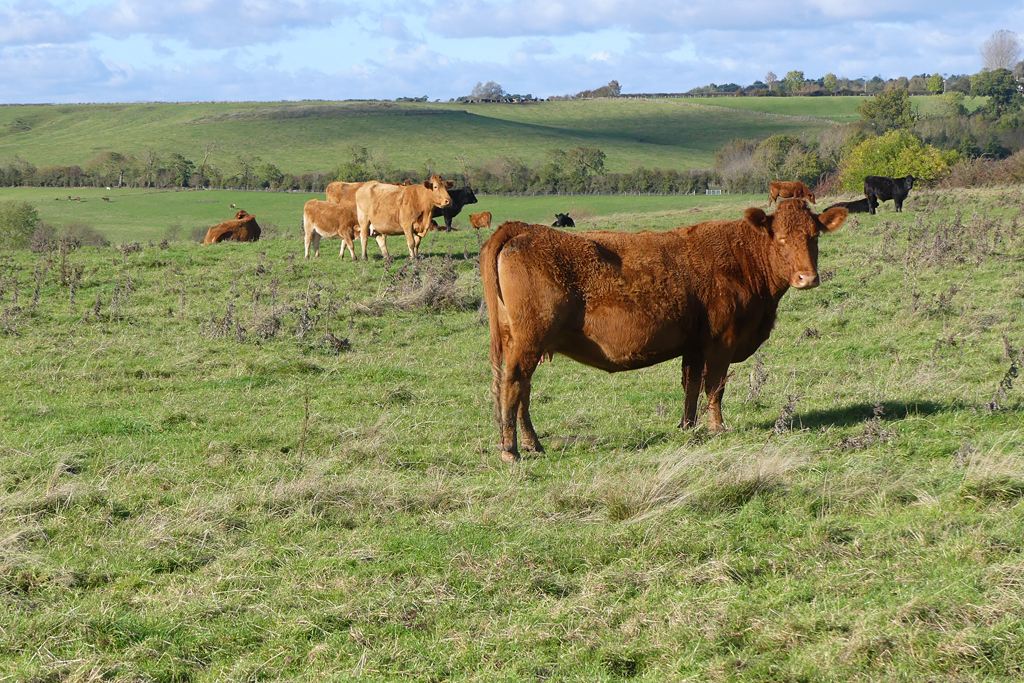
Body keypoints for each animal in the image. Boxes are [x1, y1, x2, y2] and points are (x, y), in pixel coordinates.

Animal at [479, 198, 847, 464]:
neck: (743, 260)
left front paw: (688, 427)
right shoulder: (722, 340)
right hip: (529, 340)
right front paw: (717, 428)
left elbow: (691, 385)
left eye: (813, 237)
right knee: (513, 384)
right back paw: (510, 450)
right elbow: (714, 386)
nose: (807, 278)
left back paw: (533, 444)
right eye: (781, 238)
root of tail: (522, 229)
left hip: (523, 341)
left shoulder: (695, 345)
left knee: (522, 389)